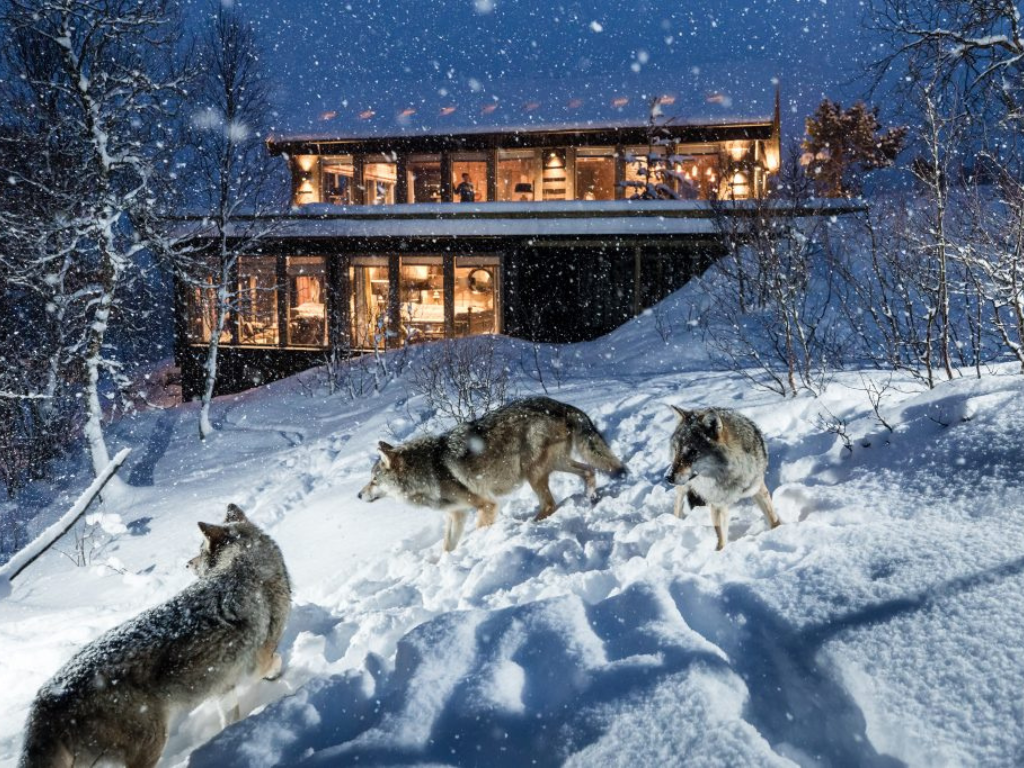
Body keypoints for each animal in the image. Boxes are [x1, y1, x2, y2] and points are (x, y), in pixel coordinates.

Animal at [19, 504, 291, 768]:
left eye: (199, 551)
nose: (187, 564)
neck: (246, 566)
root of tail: (45, 700)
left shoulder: (224, 686)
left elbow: (230, 717)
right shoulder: (255, 666)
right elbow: (275, 661)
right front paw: (280, 678)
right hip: (153, 742)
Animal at [358, 396, 625, 551]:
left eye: (373, 481)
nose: (358, 496)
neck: (428, 470)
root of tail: (561, 405)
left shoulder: (486, 505)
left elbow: (479, 529)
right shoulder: (456, 515)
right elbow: (447, 548)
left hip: (533, 473)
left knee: (550, 504)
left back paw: (531, 524)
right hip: (556, 465)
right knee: (590, 471)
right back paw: (591, 498)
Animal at [665, 406, 780, 550]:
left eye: (692, 452)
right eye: (676, 451)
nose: (668, 477)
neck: (729, 476)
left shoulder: (758, 489)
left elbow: (773, 518)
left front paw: (778, 532)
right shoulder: (718, 504)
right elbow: (721, 538)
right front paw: (720, 553)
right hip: (683, 487)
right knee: (677, 505)